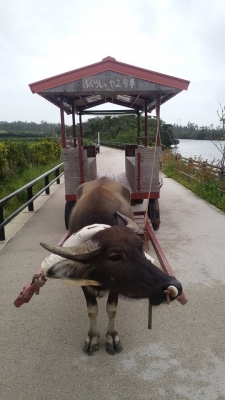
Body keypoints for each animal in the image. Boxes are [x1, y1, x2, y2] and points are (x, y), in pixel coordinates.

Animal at [40, 178, 182, 356]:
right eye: (114, 257)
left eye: (140, 246)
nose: (174, 285)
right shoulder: (84, 282)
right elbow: (92, 310)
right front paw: (92, 338)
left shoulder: (116, 287)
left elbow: (111, 309)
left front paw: (112, 338)